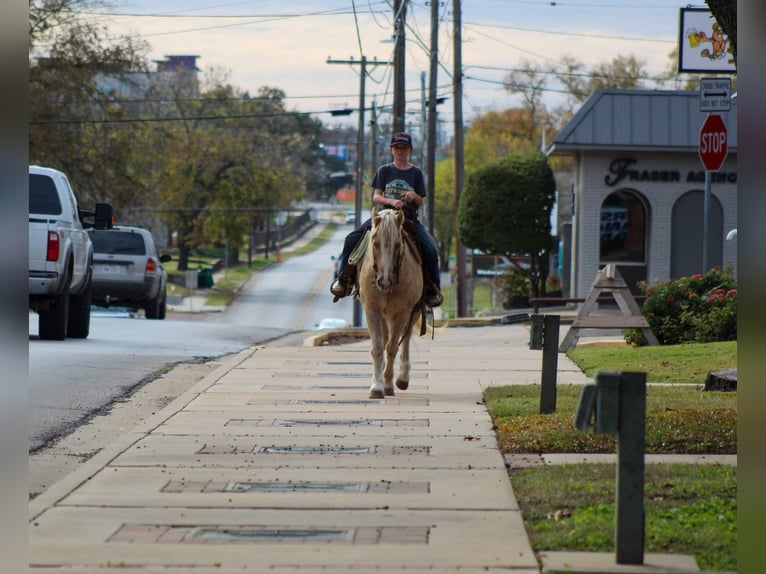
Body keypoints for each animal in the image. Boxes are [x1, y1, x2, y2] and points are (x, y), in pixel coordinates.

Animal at [357, 208, 424, 399]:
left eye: (398, 245)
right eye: (375, 243)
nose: (384, 282)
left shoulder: (402, 312)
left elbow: (393, 347)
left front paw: (387, 384)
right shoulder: (371, 309)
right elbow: (378, 347)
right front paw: (376, 386)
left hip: (413, 312)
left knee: (406, 338)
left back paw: (402, 378)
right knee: (387, 339)